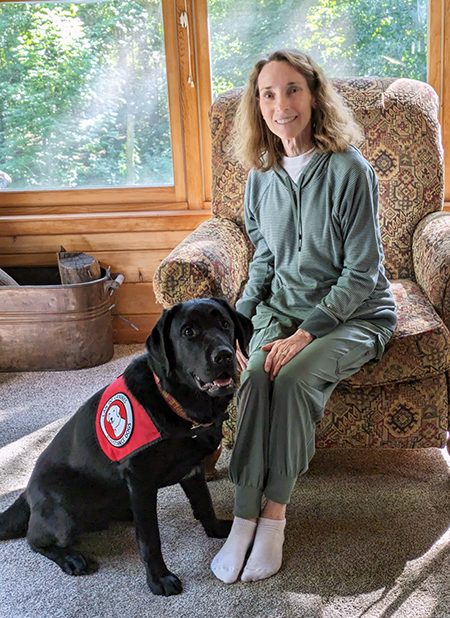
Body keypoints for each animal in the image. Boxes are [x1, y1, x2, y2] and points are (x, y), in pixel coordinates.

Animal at [0, 296, 253, 596]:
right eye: (188, 332)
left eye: (225, 324)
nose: (224, 355)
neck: (176, 403)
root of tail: (26, 492)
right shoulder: (140, 481)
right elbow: (150, 538)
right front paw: (159, 579)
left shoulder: (192, 468)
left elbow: (204, 503)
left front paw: (214, 529)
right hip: (62, 511)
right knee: (34, 539)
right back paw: (70, 557)